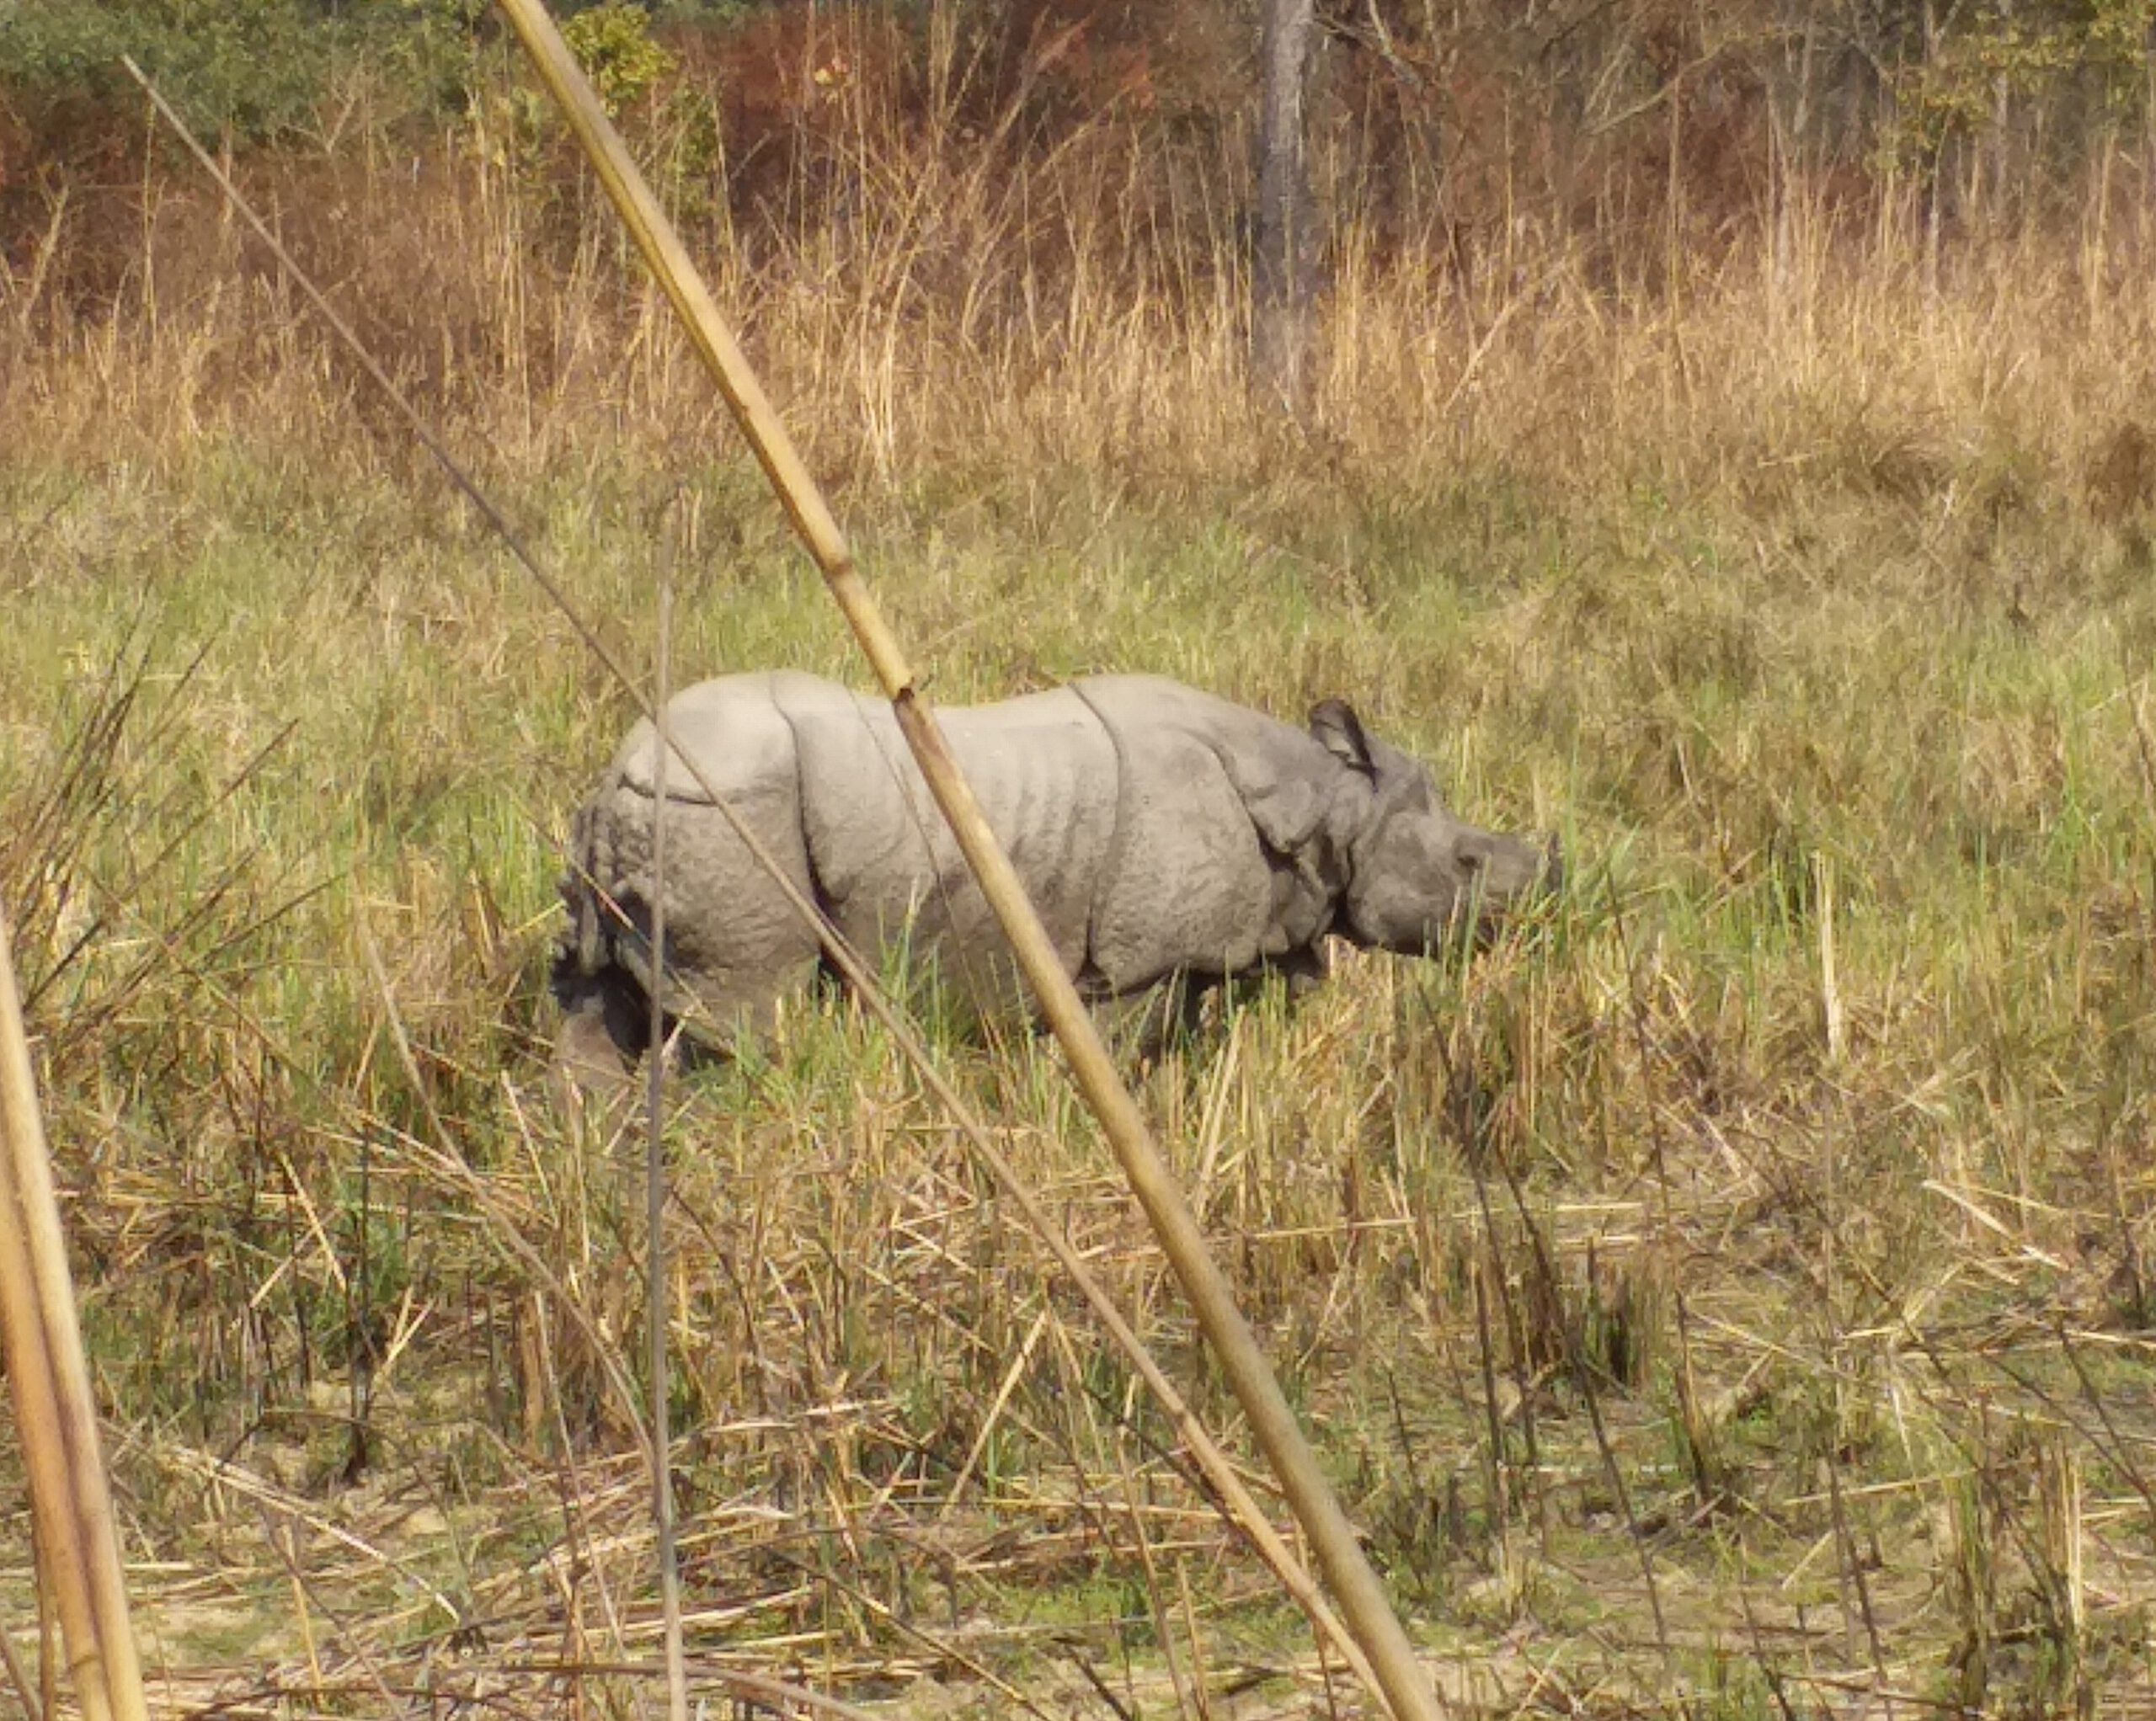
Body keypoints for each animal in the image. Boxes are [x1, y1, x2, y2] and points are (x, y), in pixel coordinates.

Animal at [553, 670, 1556, 1083]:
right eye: (1467, 866)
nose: (1540, 917)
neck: (1333, 807)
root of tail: (621, 766)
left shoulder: (1192, 952)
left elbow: (1179, 1048)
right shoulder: (1136, 962)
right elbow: (1120, 1050)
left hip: (660, 818)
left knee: (598, 1002)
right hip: (722, 811)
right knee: (751, 1018)